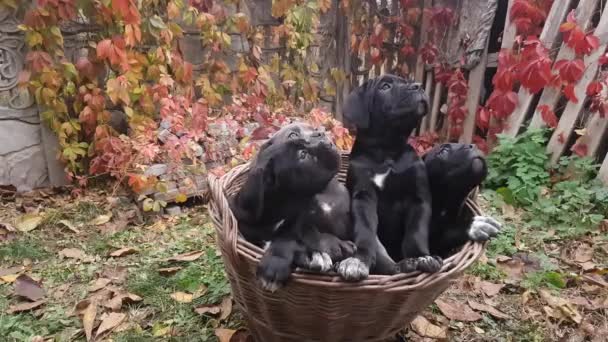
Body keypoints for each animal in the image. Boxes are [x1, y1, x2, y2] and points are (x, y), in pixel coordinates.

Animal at [338, 74, 442, 280]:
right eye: (385, 87)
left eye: (408, 81)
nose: (418, 86)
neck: (388, 150)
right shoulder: (363, 197)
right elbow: (365, 231)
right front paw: (359, 260)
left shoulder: (419, 199)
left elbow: (416, 233)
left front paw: (422, 256)